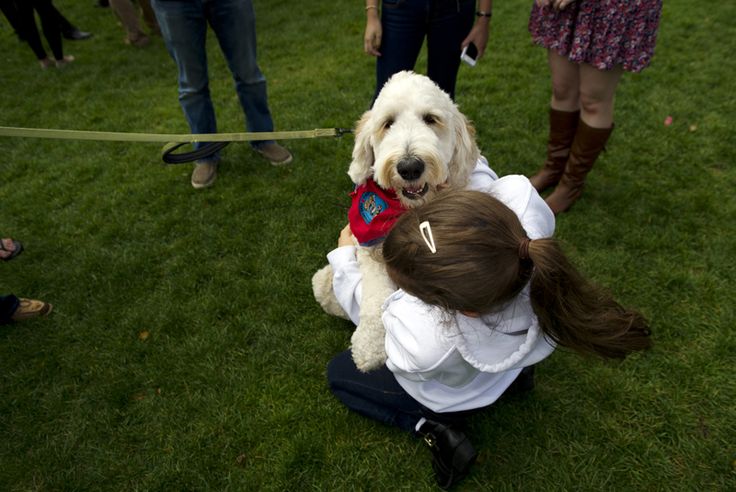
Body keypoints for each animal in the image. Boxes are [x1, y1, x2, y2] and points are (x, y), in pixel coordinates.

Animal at [314, 71, 486, 370]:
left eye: (430, 119)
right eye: (388, 123)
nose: (409, 167)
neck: (407, 209)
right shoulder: (370, 248)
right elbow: (374, 295)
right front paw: (369, 346)